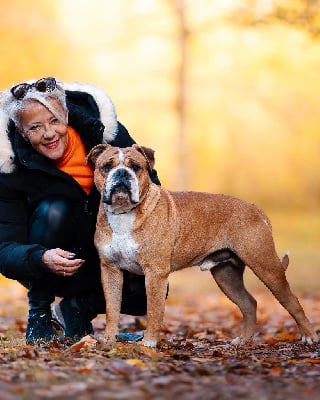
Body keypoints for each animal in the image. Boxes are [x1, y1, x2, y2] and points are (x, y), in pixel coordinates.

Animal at [87, 144, 318, 346]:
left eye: (136, 167)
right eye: (106, 166)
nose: (122, 173)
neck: (124, 214)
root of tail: (254, 208)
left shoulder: (155, 273)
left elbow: (153, 310)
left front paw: (149, 343)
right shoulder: (110, 271)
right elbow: (112, 308)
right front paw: (108, 339)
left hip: (266, 266)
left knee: (292, 302)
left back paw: (309, 337)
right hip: (226, 275)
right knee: (249, 304)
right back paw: (243, 341)